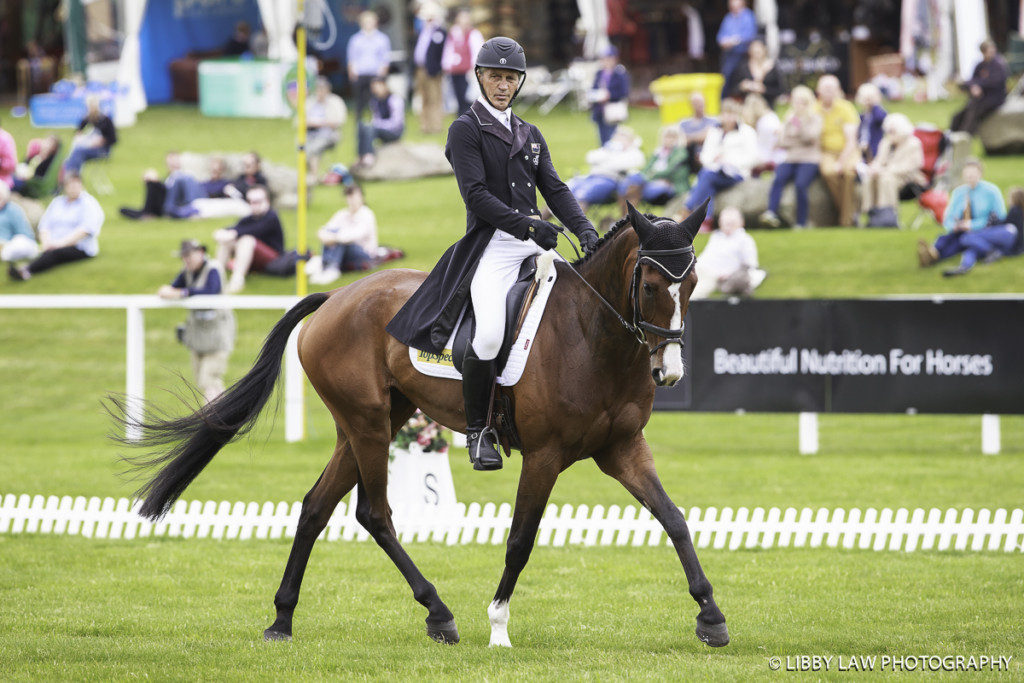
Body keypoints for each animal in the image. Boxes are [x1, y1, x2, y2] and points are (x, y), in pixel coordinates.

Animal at [119, 201, 729, 647]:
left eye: (693, 284)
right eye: (649, 286)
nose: (669, 371)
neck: (590, 335)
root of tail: (338, 295)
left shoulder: (622, 448)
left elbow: (675, 520)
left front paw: (711, 616)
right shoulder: (545, 455)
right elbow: (520, 539)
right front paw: (498, 624)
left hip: (374, 422)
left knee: (316, 507)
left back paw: (282, 620)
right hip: (368, 425)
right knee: (374, 513)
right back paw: (438, 613)